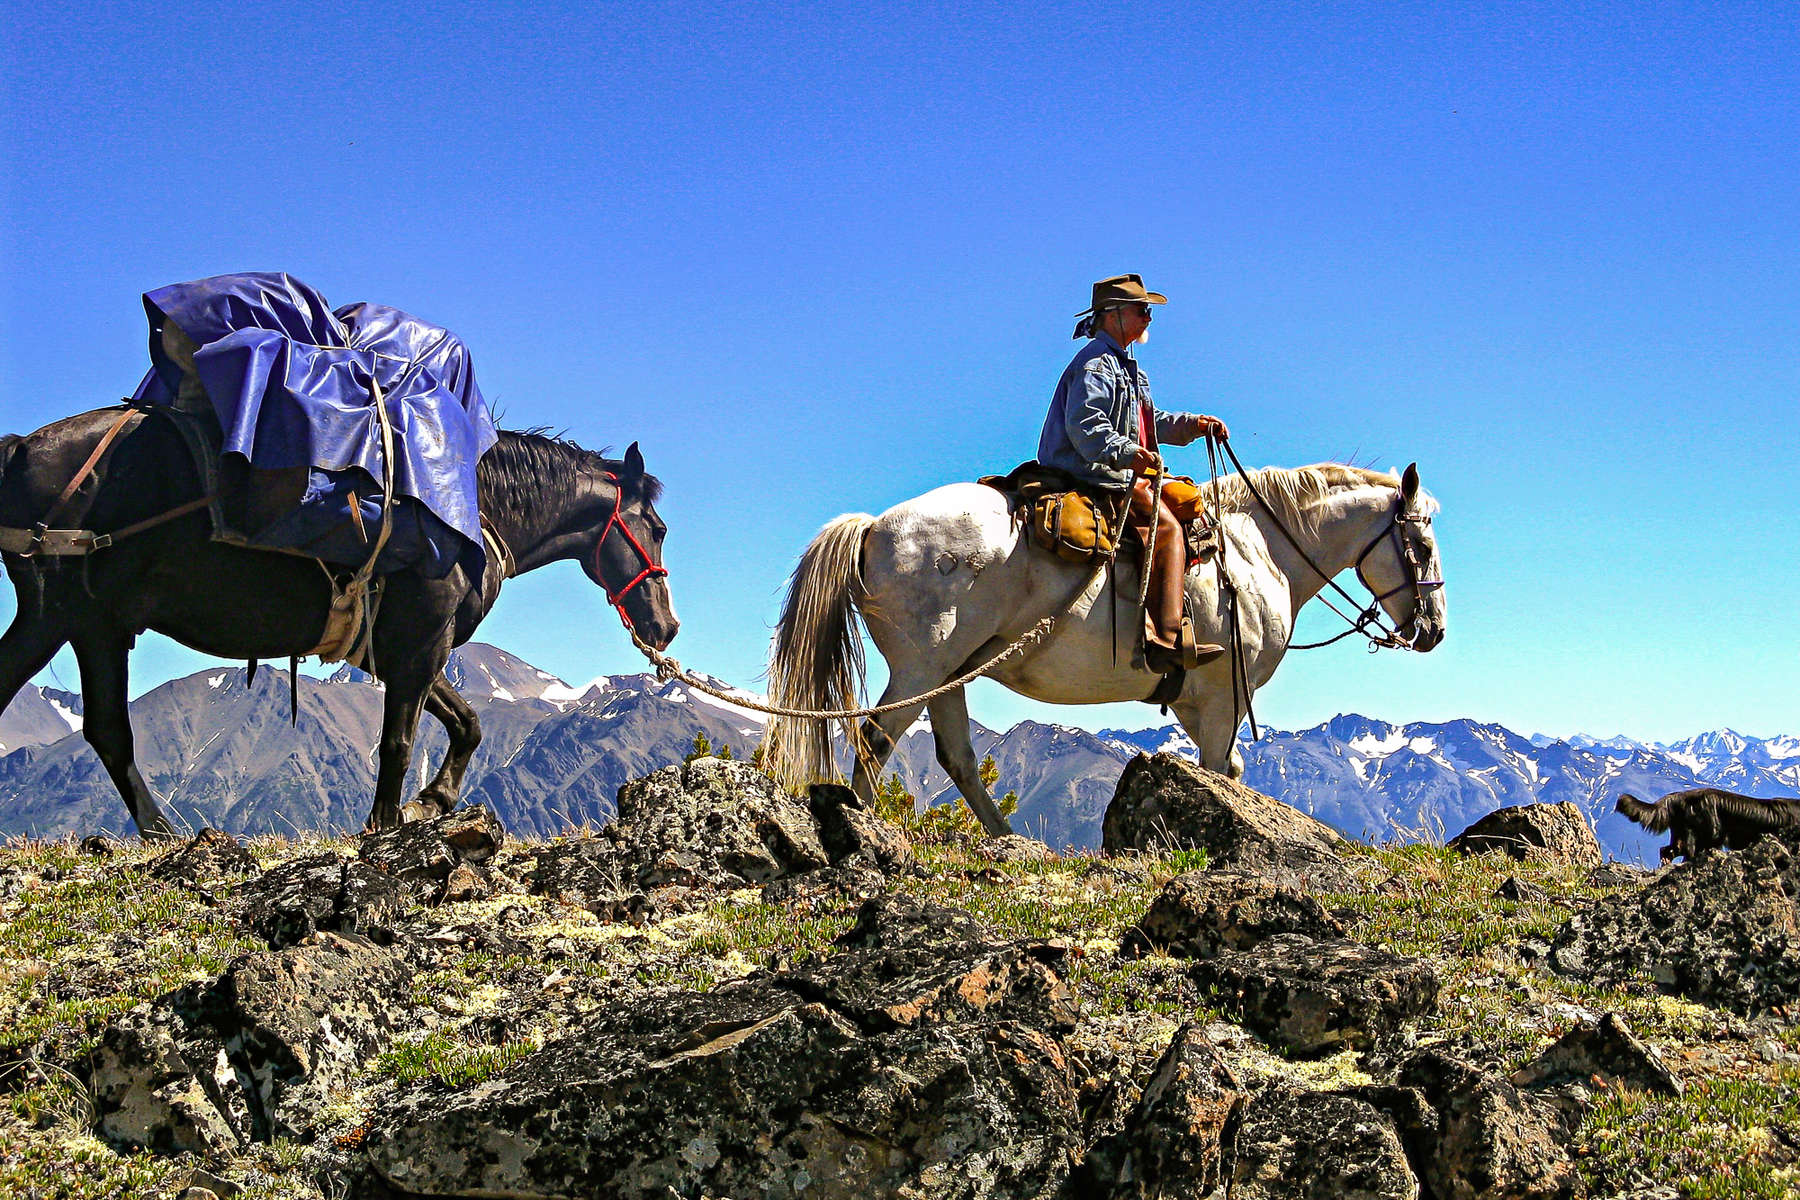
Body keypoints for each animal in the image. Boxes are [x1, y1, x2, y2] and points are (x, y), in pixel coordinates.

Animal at [0, 408, 676, 841]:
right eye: (659, 529)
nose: (665, 626)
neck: (468, 510)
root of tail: (23, 449)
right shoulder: (420, 645)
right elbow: (399, 742)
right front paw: (387, 825)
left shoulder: (403, 651)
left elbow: (467, 724)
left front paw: (433, 800)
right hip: (70, 619)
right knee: (102, 728)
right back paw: (168, 831)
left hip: (85, 625)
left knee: (102, 729)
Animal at [763, 460, 1447, 834]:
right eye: (1423, 546)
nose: (1433, 630)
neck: (1258, 552)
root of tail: (874, 527)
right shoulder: (1222, 697)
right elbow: (1219, 772)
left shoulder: (1200, 704)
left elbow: (1225, 772)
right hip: (921, 667)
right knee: (874, 739)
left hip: (951, 671)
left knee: (955, 756)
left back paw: (1013, 845)